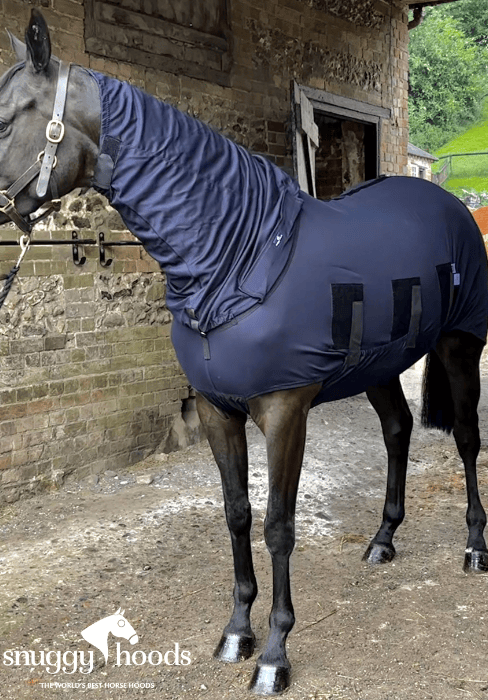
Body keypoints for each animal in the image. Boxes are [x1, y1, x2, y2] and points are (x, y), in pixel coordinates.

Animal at [1, 10, 488, 695]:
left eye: (5, 117)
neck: (240, 256)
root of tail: (447, 203)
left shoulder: (285, 413)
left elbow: (278, 525)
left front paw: (276, 654)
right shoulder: (215, 411)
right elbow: (236, 514)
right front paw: (237, 631)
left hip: (458, 346)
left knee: (468, 439)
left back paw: (474, 547)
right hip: (381, 363)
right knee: (397, 430)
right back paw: (383, 539)